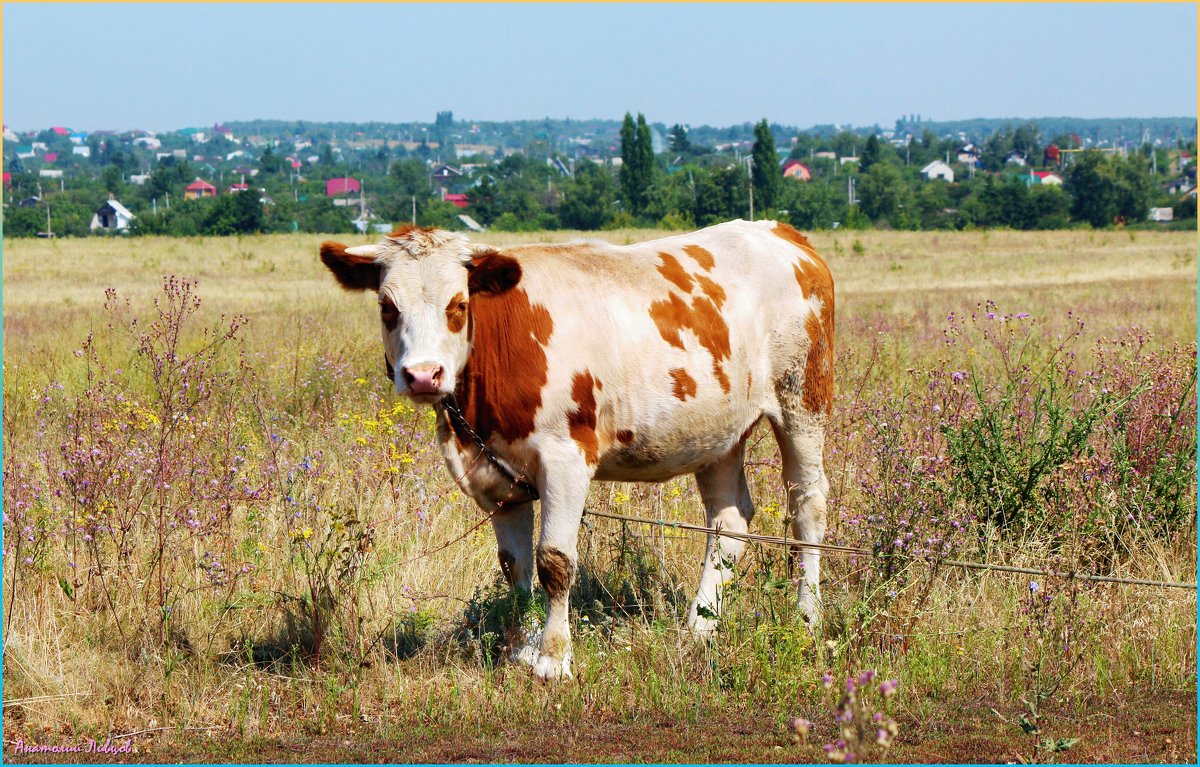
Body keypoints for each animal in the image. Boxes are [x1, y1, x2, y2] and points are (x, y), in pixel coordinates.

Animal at [319, 218, 835, 681]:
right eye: (387, 306)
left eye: (459, 304)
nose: (424, 375)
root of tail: (782, 232)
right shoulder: (496, 476)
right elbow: (514, 567)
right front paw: (519, 650)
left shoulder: (565, 459)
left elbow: (554, 560)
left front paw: (553, 657)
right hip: (717, 433)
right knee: (728, 523)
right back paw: (698, 627)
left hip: (802, 398)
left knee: (807, 504)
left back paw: (807, 617)